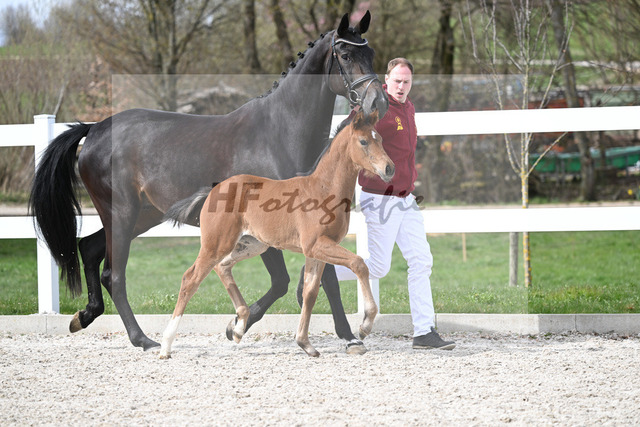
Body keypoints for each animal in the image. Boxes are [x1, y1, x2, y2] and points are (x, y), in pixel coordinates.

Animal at [159, 108, 394, 358]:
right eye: (363, 141)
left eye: (380, 138)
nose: (389, 168)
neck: (323, 189)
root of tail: (213, 190)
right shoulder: (317, 244)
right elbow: (359, 264)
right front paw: (365, 325)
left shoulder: (316, 251)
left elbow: (310, 292)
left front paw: (305, 343)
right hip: (217, 243)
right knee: (190, 278)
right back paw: (166, 345)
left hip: (252, 244)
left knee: (222, 267)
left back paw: (239, 326)